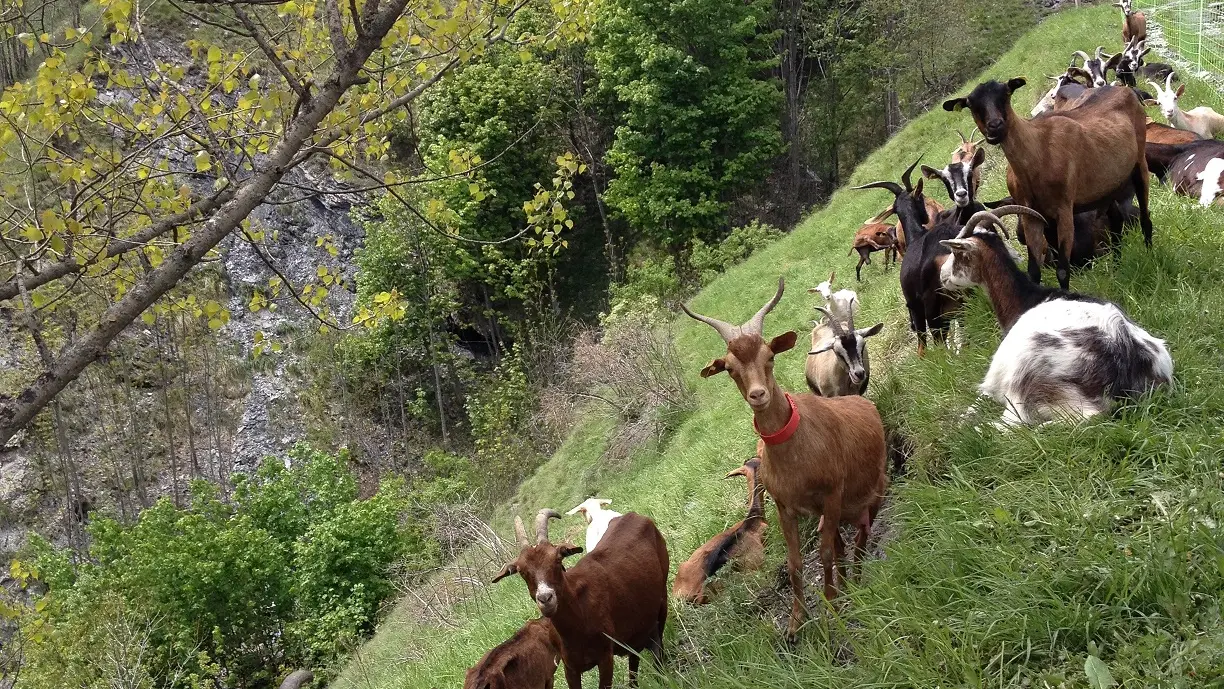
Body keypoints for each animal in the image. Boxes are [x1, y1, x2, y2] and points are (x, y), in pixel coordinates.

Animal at [492, 506, 670, 689]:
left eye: (558, 559)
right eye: (521, 571)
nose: (546, 598)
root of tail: (634, 515)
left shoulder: (605, 656)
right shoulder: (570, 667)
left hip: (662, 598)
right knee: (634, 659)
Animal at [680, 279, 891, 641]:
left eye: (769, 355)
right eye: (730, 368)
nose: (758, 395)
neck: (796, 451)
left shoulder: (831, 495)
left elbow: (824, 551)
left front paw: (831, 610)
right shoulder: (786, 508)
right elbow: (796, 563)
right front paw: (796, 622)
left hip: (872, 489)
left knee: (862, 533)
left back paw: (856, 580)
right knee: (843, 539)